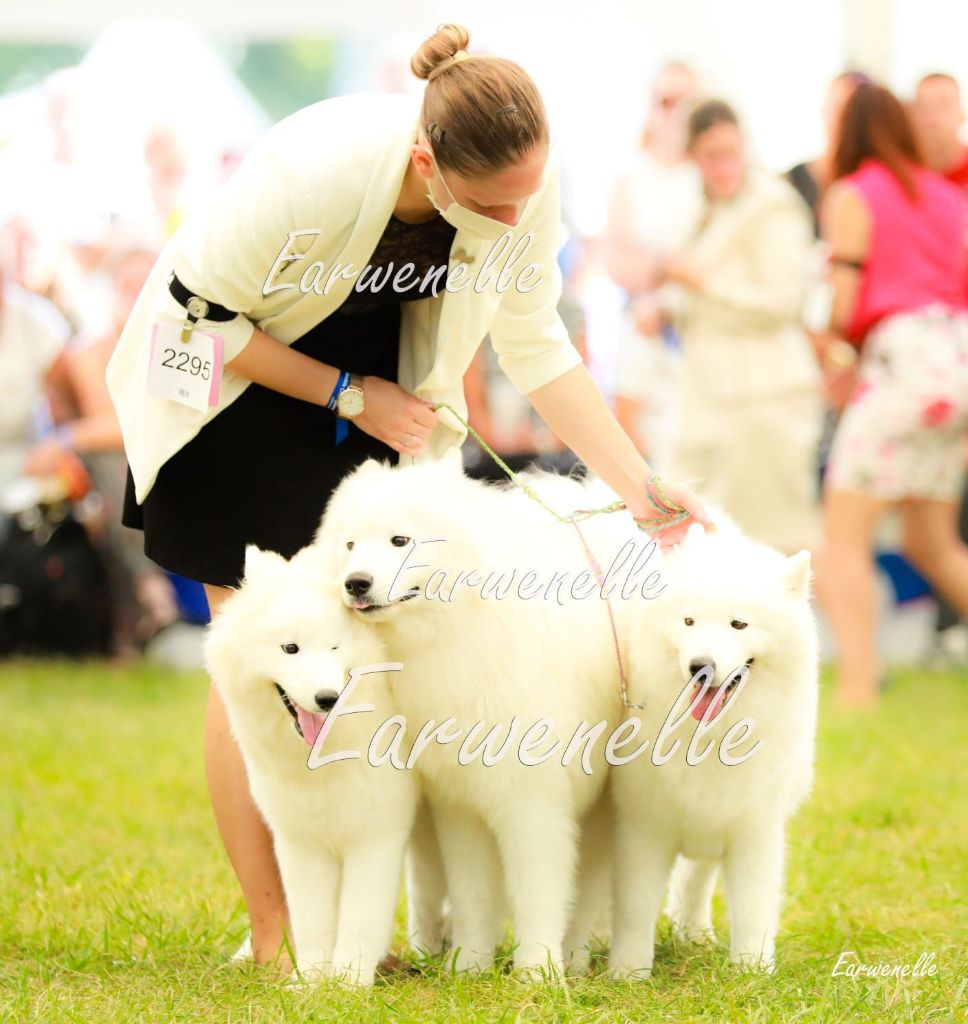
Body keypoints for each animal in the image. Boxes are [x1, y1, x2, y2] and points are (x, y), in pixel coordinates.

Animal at [203, 544, 415, 983]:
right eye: (290, 648)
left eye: (335, 647)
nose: (327, 698)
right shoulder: (300, 841)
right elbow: (313, 923)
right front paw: (312, 982)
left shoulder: (377, 834)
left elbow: (360, 918)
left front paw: (349, 983)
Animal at [313, 458, 643, 974]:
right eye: (349, 545)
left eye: (400, 540)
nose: (355, 583)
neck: (459, 632)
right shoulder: (458, 801)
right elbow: (473, 893)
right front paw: (469, 967)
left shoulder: (534, 798)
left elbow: (536, 891)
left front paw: (537, 973)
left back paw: (571, 959)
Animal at [606, 524, 819, 978]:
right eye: (688, 621)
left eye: (739, 624)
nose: (699, 667)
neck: (708, 736)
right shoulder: (642, 827)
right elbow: (634, 906)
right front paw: (628, 973)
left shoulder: (754, 828)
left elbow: (753, 908)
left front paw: (752, 971)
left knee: (694, 880)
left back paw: (695, 936)